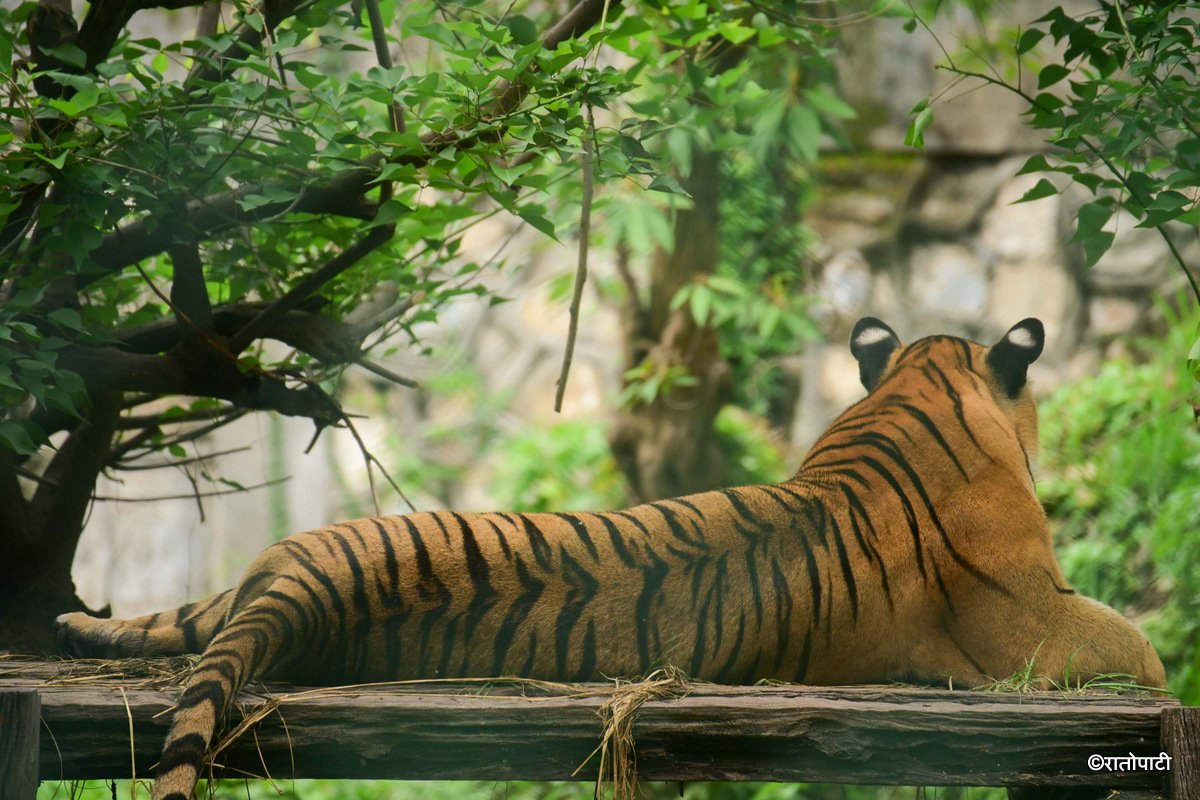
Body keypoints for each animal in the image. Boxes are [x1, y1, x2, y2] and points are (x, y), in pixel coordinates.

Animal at [57, 317, 1167, 800]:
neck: (917, 387)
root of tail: (303, 584)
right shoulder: (1040, 623)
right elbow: (1148, 653)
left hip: (254, 575)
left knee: (178, 617)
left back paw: (76, 623)